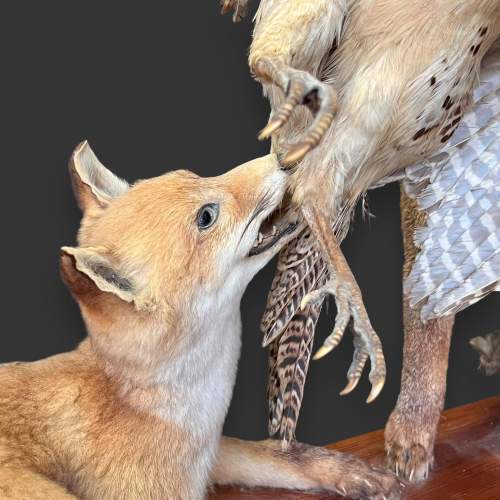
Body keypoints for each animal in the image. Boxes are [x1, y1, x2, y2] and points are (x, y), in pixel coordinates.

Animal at [0, 142, 400, 500]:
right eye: (206, 216)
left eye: (194, 175)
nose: (286, 155)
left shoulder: (209, 458)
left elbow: (277, 454)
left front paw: (350, 472)